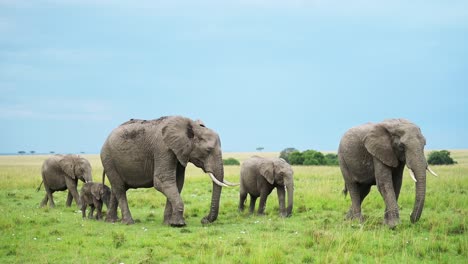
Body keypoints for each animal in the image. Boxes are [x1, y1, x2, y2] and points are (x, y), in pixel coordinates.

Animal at [100, 116, 236, 227]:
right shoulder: (163, 148)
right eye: (208, 150)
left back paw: (111, 221)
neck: (191, 126)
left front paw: (168, 224)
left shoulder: (180, 152)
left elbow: (177, 183)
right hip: (108, 159)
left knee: (116, 189)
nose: (204, 220)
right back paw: (129, 222)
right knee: (120, 188)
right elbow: (163, 181)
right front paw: (179, 224)